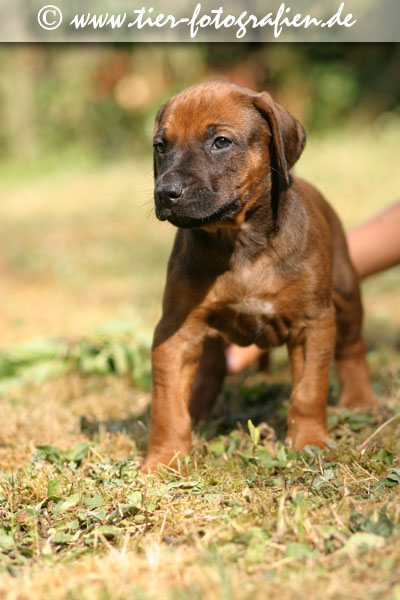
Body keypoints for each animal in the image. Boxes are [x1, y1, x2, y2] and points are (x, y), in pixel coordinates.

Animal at [142, 81, 376, 474]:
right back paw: (201, 412)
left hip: (345, 293)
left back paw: (361, 400)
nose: (166, 193)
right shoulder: (176, 330)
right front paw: (165, 458)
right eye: (161, 146)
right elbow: (167, 403)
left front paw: (310, 442)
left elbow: (308, 392)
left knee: (352, 345)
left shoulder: (313, 324)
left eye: (221, 142)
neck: (240, 243)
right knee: (210, 367)